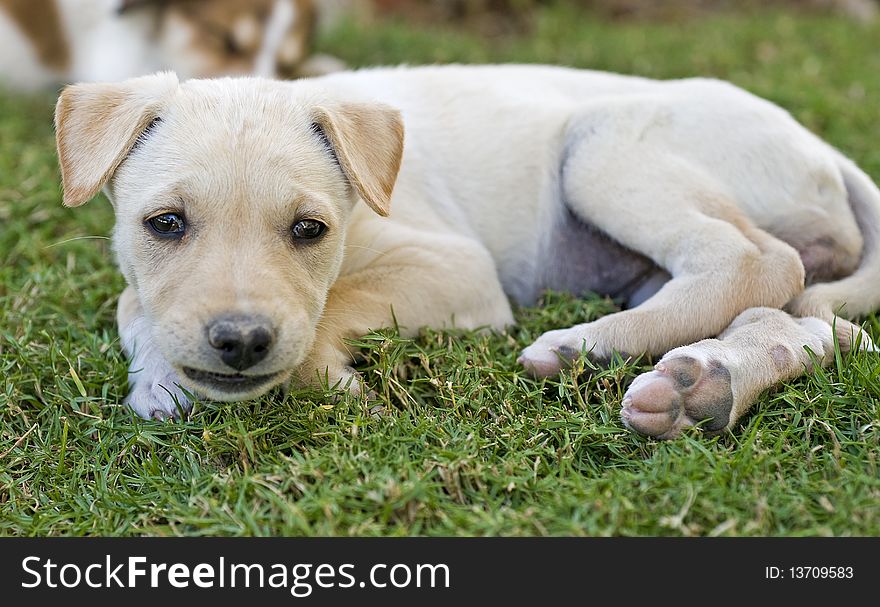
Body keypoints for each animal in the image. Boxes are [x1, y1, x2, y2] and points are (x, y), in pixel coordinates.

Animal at [53, 65, 880, 436]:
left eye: (309, 230)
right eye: (165, 224)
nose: (242, 340)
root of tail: (824, 153)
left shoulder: (458, 268)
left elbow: (336, 303)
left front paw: (334, 381)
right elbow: (131, 300)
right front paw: (159, 377)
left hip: (604, 147)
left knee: (757, 261)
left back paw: (584, 345)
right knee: (799, 314)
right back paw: (696, 381)